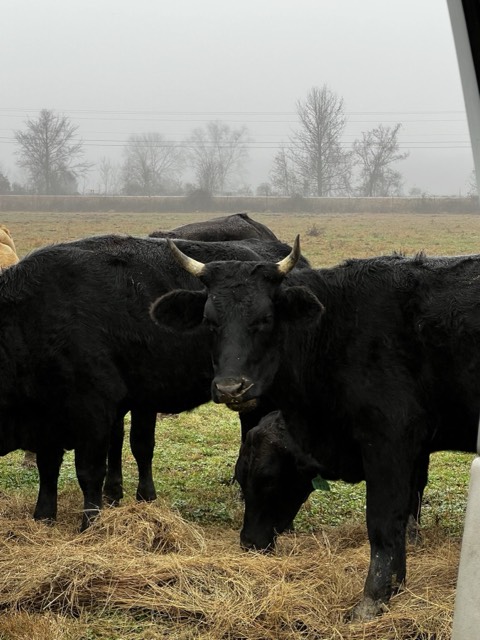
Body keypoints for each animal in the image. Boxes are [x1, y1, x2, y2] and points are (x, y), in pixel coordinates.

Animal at [0, 234, 306, 531]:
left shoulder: (94, 413)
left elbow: (90, 471)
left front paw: (90, 523)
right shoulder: (49, 419)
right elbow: (48, 467)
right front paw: (43, 517)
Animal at [150, 236, 480, 621]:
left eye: (265, 318)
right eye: (209, 321)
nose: (231, 388)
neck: (336, 327)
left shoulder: (389, 442)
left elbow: (383, 522)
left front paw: (373, 598)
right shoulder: (415, 451)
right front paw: (396, 585)